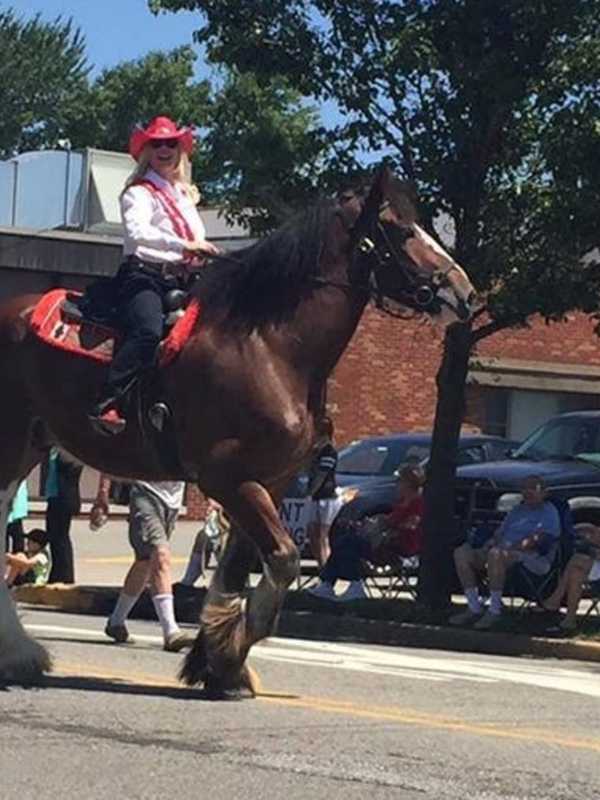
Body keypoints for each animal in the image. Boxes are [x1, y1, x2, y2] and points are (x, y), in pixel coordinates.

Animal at [0, 167, 478, 692]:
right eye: (399, 228)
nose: (465, 292)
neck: (270, 347)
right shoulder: (224, 477)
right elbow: (283, 558)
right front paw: (232, 650)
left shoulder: (270, 480)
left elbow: (237, 568)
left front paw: (219, 659)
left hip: (28, 444)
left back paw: (18, 654)